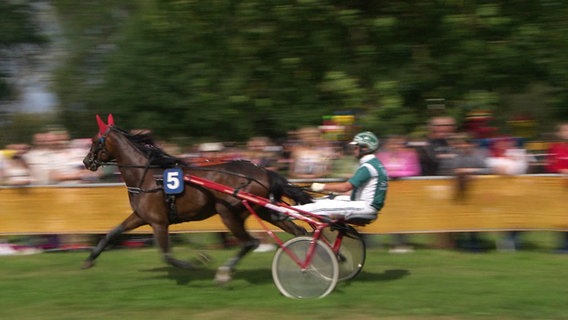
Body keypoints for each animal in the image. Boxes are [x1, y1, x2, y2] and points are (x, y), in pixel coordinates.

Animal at [80, 115, 310, 282]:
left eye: (94, 140)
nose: (85, 161)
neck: (146, 176)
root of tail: (262, 171)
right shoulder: (141, 216)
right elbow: (112, 233)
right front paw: (89, 259)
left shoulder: (159, 222)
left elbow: (167, 255)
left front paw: (196, 262)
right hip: (264, 210)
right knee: (298, 231)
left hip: (228, 211)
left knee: (250, 242)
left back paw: (224, 273)